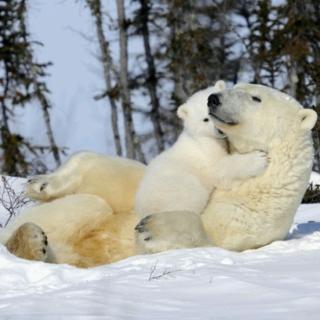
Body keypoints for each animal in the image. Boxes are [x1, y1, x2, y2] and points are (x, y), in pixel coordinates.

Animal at [135, 81, 268, 219]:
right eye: (206, 119)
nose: (219, 130)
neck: (200, 136)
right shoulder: (206, 149)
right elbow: (219, 169)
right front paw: (258, 159)